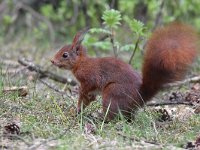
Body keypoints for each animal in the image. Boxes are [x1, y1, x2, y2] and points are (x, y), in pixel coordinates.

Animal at [50, 22, 198, 119]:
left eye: (65, 55)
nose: (52, 61)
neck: (80, 63)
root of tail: (139, 97)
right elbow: (88, 99)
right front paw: (78, 110)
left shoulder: (90, 77)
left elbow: (88, 87)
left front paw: (79, 98)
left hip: (112, 93)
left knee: (113, 116)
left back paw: (100, 118)